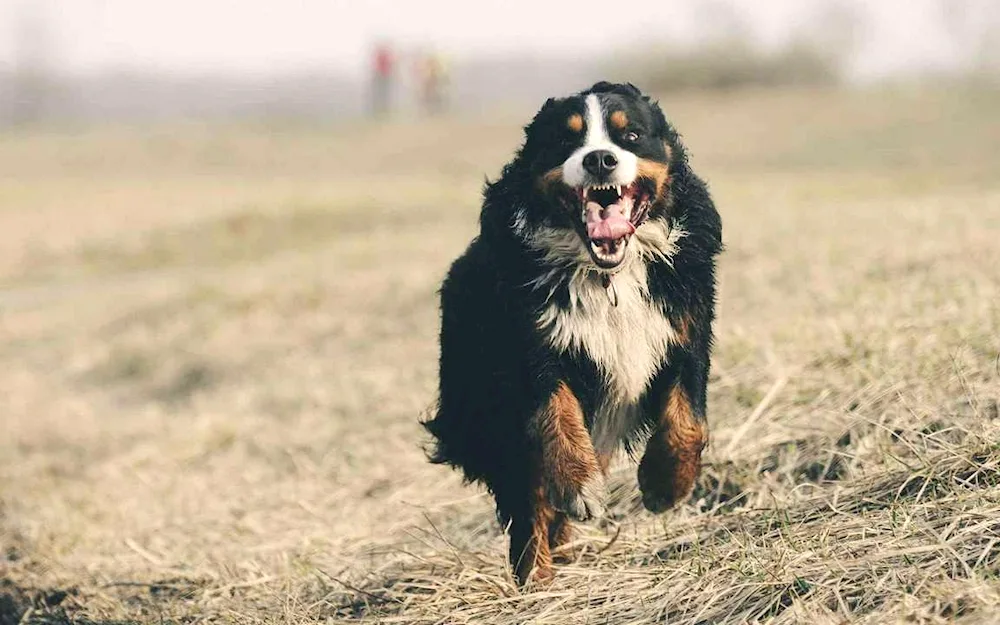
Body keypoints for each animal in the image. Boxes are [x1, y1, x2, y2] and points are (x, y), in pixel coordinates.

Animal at [422, 80, 720, 584]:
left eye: (631, 135)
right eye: (566, 139)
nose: (599, 159)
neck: (608, 276)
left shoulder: (685, 330)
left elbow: (688, 421)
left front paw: (664, 485)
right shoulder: (532, 348)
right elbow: (557, 416)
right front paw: (580, 486)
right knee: (528, 501)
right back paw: (537, 577)